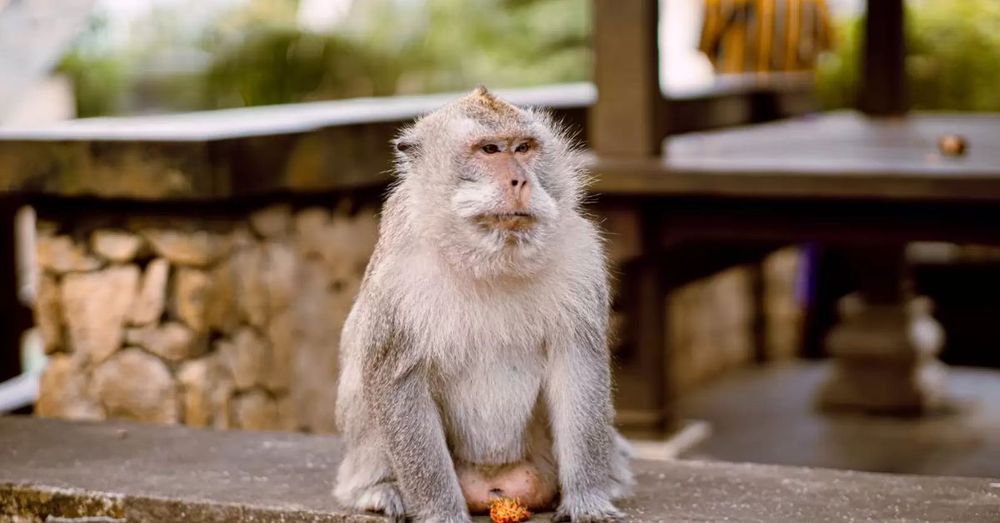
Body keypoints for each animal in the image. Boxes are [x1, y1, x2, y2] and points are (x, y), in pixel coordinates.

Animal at [333, 86, 633, 523]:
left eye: (523, 148)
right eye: (489, 150)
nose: (520, 179)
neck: (487, 260)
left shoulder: (579, 253)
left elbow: (578, 366)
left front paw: (588, 498)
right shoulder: (397, 279)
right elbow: (394, 378)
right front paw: (441, 511)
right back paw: (378, 488)